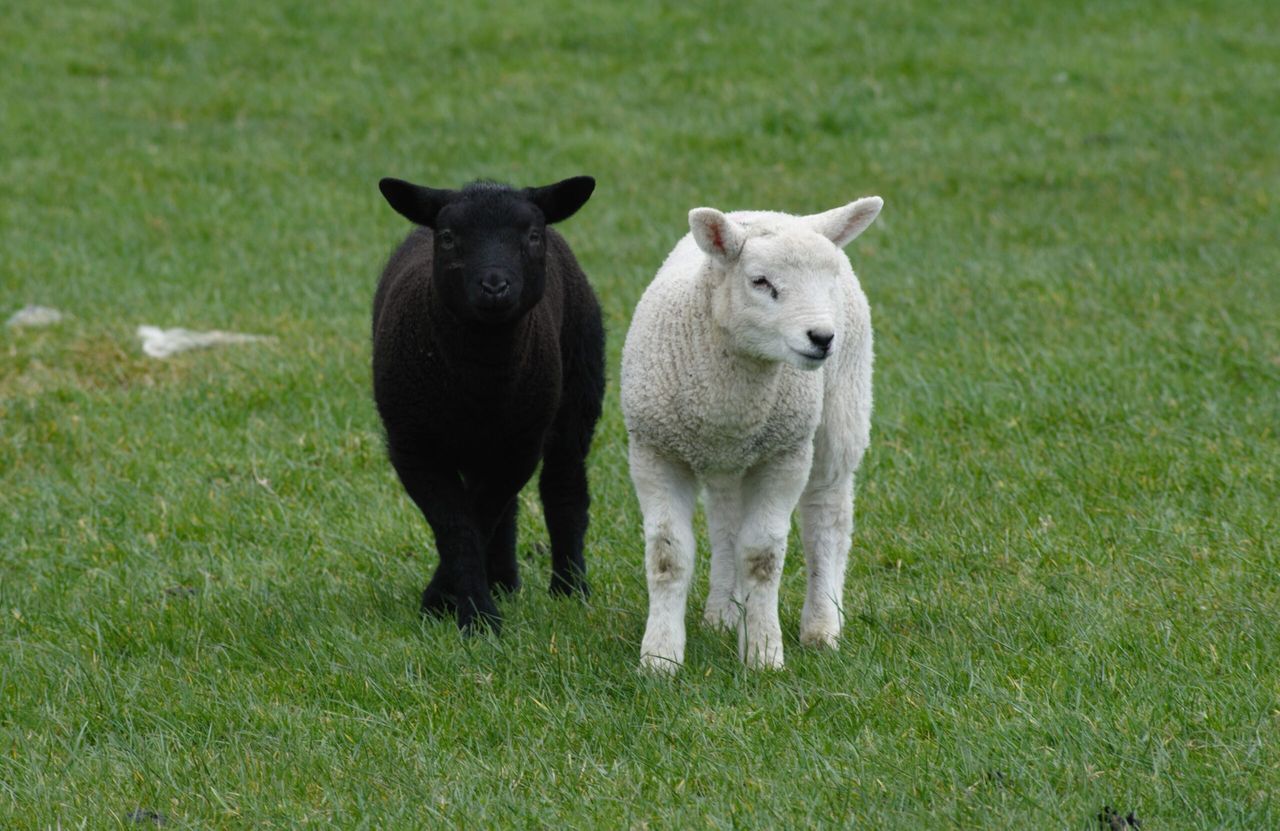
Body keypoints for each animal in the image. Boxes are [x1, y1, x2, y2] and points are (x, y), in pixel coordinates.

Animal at [372, 176, 604, 634]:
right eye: (448, 237)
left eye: (532, 236)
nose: (495, 286)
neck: (481, 381)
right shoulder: (413, 445)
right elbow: (458, 523)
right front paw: (470, 611)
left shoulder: (521, 444)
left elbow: (476, 517)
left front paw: (457, 606)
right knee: (507, 509)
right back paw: (504, 582)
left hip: (579, 389)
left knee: (564, 488)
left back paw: (569, 588)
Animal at [620, 196, 883, 671]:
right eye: (760, 282)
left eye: (829, 280)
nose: (822, 337)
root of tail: (778, 213)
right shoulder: (655, 451)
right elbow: (668, 556)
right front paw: (660, 658)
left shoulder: (785, 453)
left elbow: (762, 556)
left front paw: (763, 654)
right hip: (726, 460)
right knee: (726, 522)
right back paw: (723, 613)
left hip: (842, 407)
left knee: (828, 514)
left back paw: (822, 626)